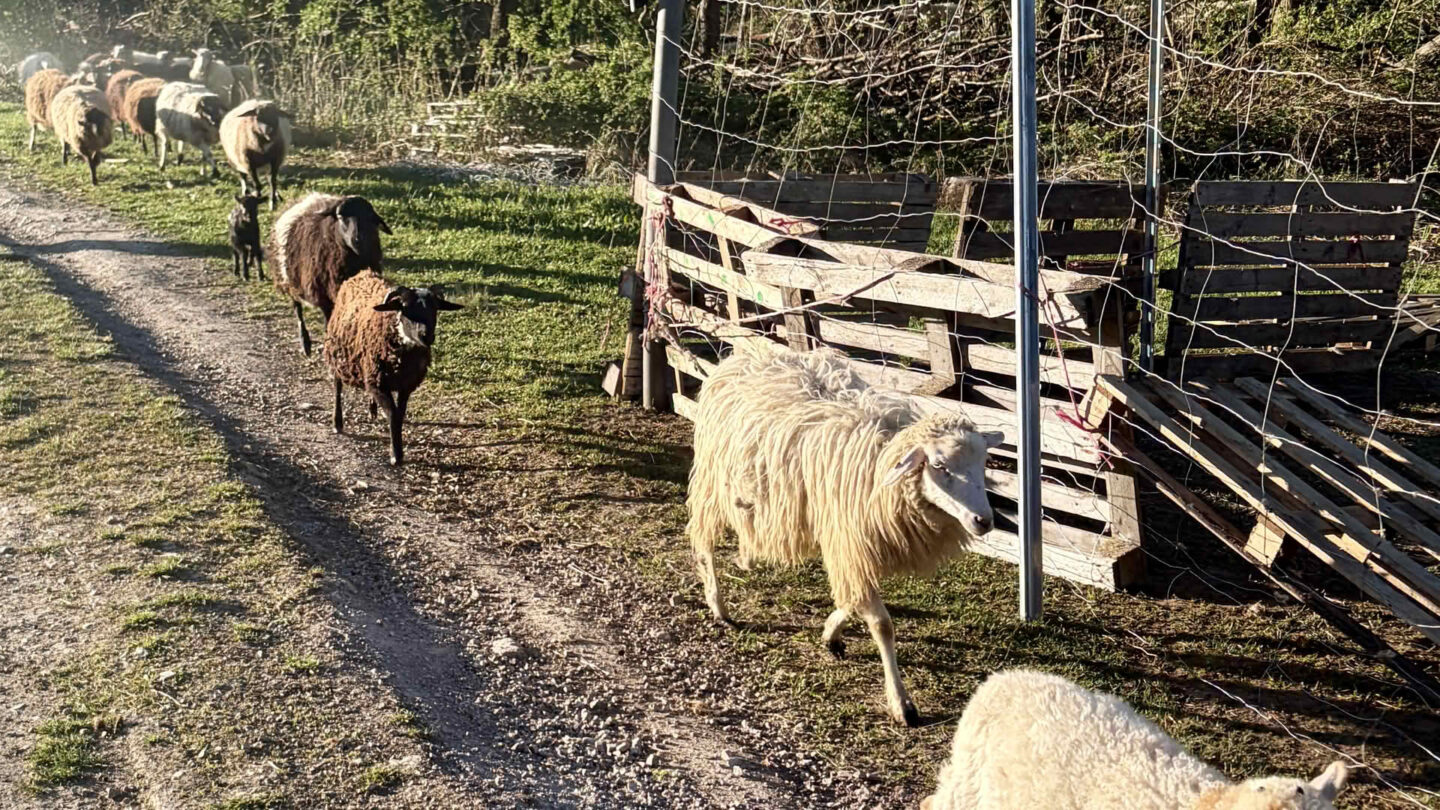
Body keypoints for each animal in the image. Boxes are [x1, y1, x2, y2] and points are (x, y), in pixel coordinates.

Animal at [269, 193, 392, 356]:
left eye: (369, 216)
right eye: (340, 216)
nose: (358, 240)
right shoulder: (323, 295)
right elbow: (328, 323)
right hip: (287, 279)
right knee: (297, 308)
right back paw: (305, 343)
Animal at [324, 270, 462, 466]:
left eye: (434, 308)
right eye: (405, 307)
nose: (427, 337)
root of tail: (361, 274)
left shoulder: (404, 385)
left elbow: (400, 414)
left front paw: (398, 450)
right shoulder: (381, 385)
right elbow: (392, 414)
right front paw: (396, 455)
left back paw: (372, 410)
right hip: (338, 357)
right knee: (337, 387)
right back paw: (337, 423)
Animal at [687, 345, 1003, 726]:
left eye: (983, 463)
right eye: (939, 466)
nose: (983, 520)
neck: (878, 466)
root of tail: (747, 353)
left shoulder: (851, 547)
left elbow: (850, 601)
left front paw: (830, 634)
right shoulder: (848, 543)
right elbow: (881, 624)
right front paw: (901, 703)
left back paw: (746, 557)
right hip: (712, 480)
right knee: (703, 542)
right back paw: (717, 604)